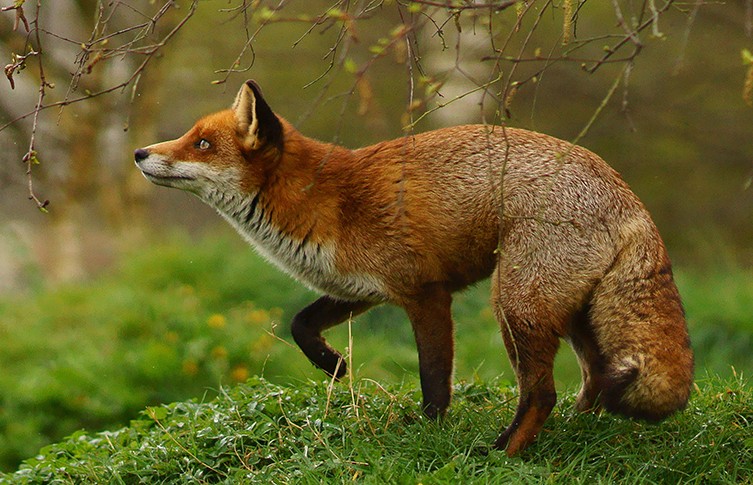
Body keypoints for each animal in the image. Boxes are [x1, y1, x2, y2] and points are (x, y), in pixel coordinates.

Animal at [134, 79, 692, 454]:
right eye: (190, 136)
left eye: (202, 144)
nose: (139, 152)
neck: (326, 201)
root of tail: (625, 194)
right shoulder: (361, 288)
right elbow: (299, 323)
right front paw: (334, 365)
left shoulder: (426, 292)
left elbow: (434, 381)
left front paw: (429, 434)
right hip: (572, 315)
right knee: (593, 379)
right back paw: (577, 432)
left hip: (517, 306)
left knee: (541, 393)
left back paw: (502, 453)